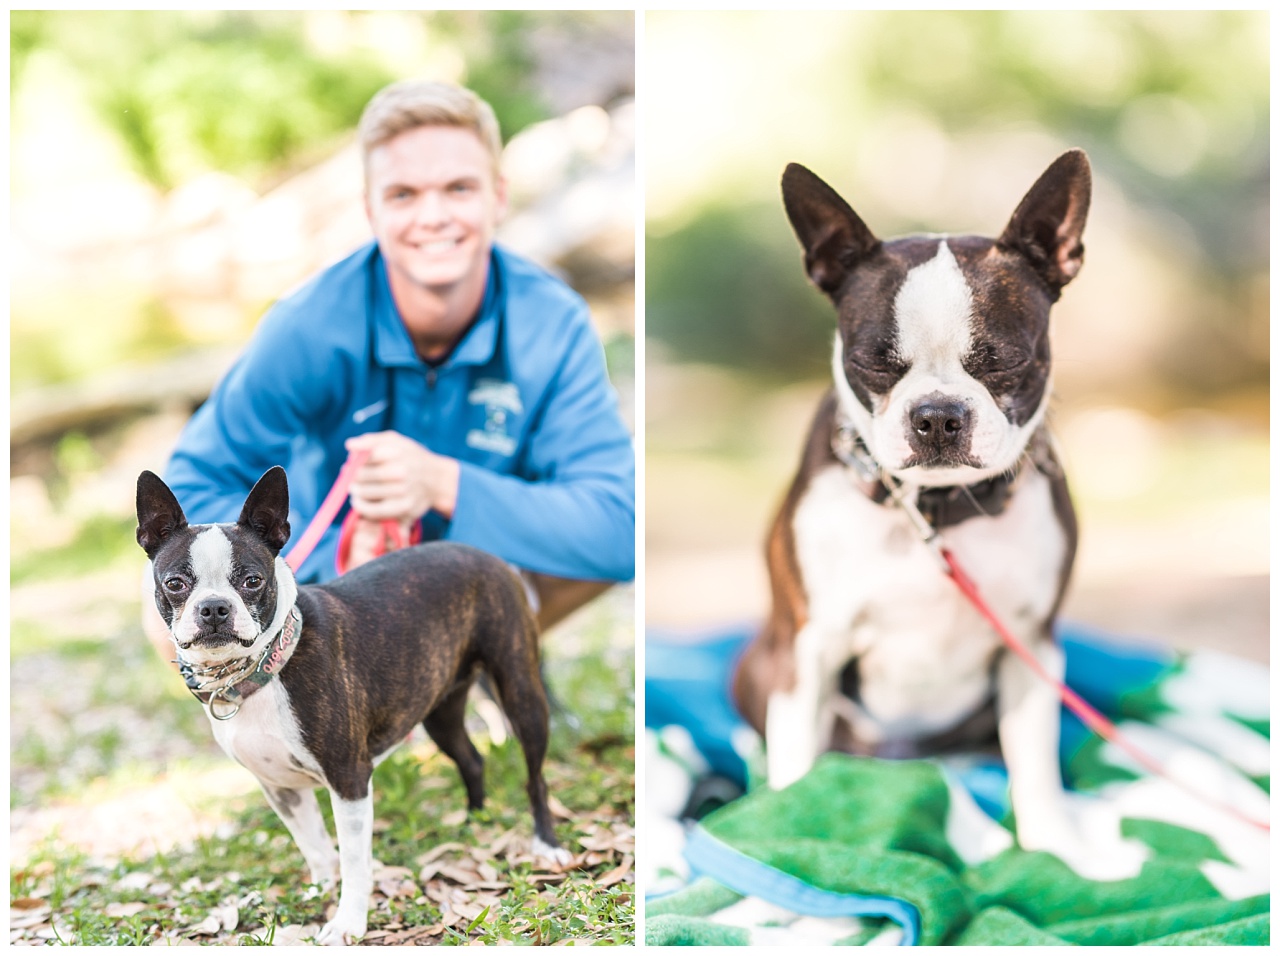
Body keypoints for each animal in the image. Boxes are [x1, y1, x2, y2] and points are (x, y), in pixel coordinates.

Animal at [135, 468, 570, 947]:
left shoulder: (349, 780)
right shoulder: (281, 787)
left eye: (252, 581)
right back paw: (475, 820)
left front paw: (347, 923)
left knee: (535, 777)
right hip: (440, 709)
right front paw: (317, 893)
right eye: (175, 584)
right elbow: (316, 848)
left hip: (521, 691)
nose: (214, 607)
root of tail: (484, 553)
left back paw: (547, 845)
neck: (264, 667)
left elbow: (354, 860)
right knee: (472, 759)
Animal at [742, 151, 1090, 860]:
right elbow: (794, 766)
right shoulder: (808, 650)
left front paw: (1053, 847)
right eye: (873, 363)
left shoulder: (1031, 644)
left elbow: (1034, 760)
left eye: (1006, 361)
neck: (934, 510)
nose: (936, 416)